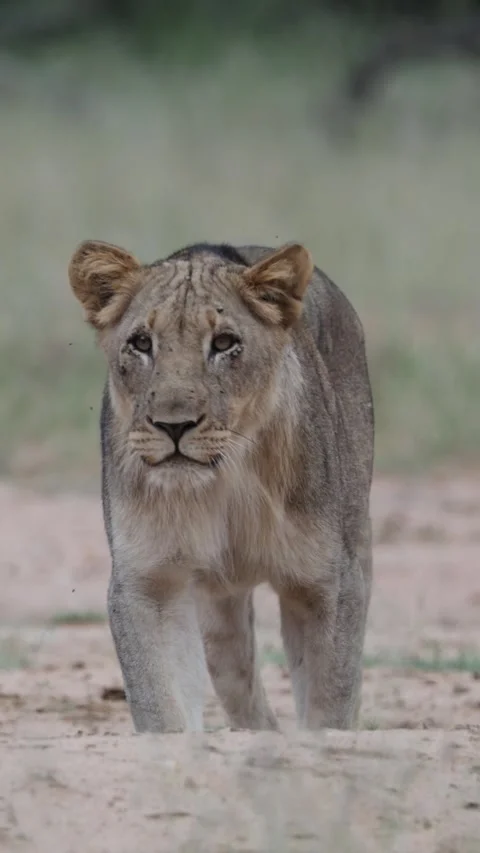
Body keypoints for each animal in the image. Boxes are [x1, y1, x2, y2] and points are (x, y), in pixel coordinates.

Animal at [69, 239, 374, 733]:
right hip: (220, 608)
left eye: (225, 343)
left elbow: (332, 698)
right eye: (141, 343)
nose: (174, 426)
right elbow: (161, 704)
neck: (223, 483)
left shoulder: (328, 580)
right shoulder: (149, 579)